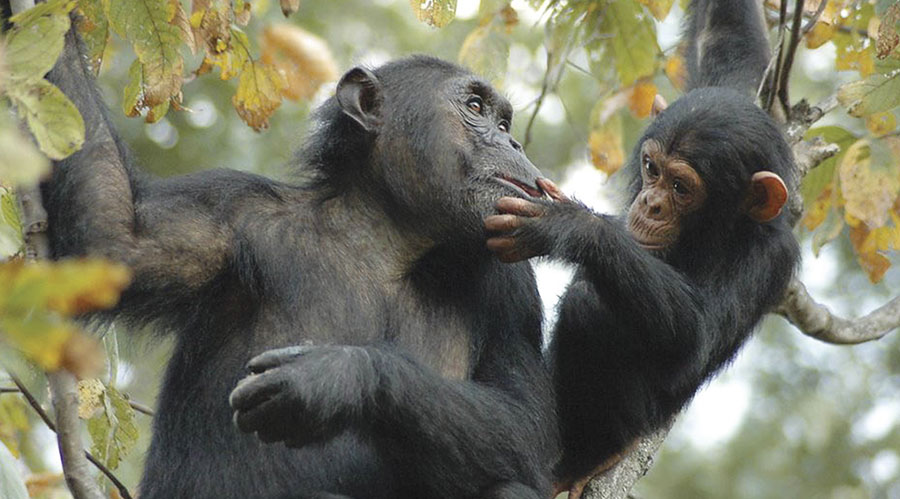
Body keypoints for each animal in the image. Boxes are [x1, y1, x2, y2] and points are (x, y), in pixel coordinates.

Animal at [37, 16, 556, 499]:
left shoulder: (512, 289)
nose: (512, 142)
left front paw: (337, 377)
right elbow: (115, 241)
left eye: (504, 123)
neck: (389, 238)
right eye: (475, 108)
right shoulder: (226, 212)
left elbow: (527, 428)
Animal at [486, 0, 800, 496]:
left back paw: (589, 457)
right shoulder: (725, 82)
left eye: (680, 187)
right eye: (652, 169)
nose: (650, 204)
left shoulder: (766, 258)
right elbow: (727, 39)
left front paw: (570, 225)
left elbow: (698, 331)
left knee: (589, 308)